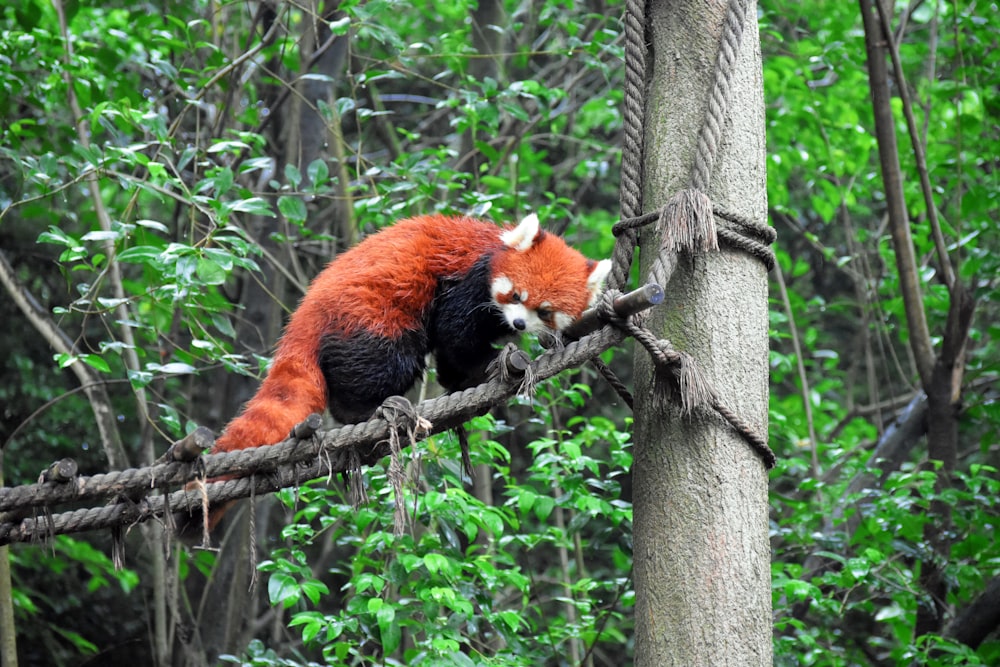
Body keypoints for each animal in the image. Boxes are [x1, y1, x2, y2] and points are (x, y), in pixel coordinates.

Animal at [184, 214, 612, 536]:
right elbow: (456, 337)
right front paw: (479, 369)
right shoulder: (465, 284)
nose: (520, 324)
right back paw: (363, 412)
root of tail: (306, 312)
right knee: (387, 359)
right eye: (517, 295)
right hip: (374, 317)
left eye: (544, 311)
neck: (491, 248)